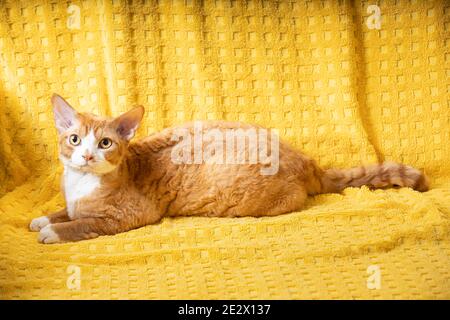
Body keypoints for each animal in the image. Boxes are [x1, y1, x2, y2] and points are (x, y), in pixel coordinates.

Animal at [28, 94, 428, 244]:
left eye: (106, 144)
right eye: (75, 140)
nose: (87, 156)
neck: (81, 183)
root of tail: (306, 159)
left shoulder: (129, 215)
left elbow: (84, 223)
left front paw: (54, 230)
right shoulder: (72, 198)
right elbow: (65, 210)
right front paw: (45, 218)